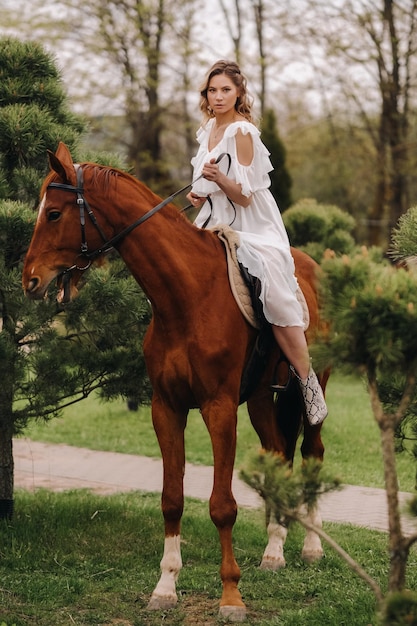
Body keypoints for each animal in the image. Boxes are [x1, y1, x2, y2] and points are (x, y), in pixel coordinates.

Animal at [22, 141, 328, 620]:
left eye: (53, 213)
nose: (29, 279)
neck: (187, 295)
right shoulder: (166, 407)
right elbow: (172, 498)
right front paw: (165, 587)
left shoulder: (219, 408)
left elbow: (222, 506)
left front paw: (231, 596)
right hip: (261, 398)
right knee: (278, 452)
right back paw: (275, 550)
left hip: (311, 390)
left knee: (312, 453)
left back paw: (312, 546)